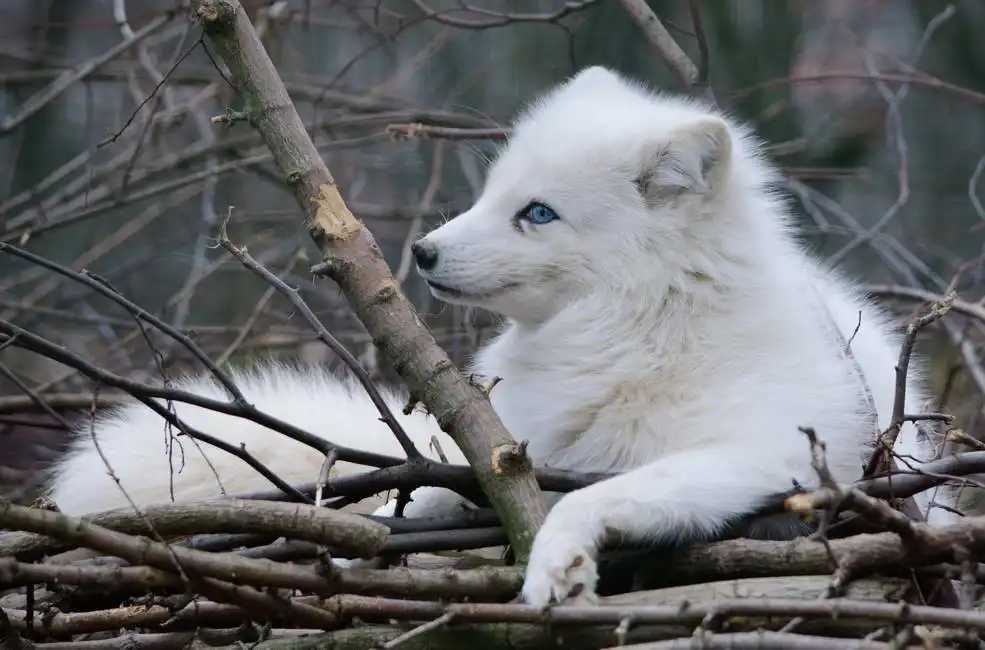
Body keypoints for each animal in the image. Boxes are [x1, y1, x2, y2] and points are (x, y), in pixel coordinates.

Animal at [45, 66, 954, 607]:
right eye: (492, 194)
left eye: (537, 213)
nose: (421, 252)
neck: (639, 323)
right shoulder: (504, 453)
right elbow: (420, 502)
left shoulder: (766, 453)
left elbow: (591, 493)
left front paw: (557, 560)